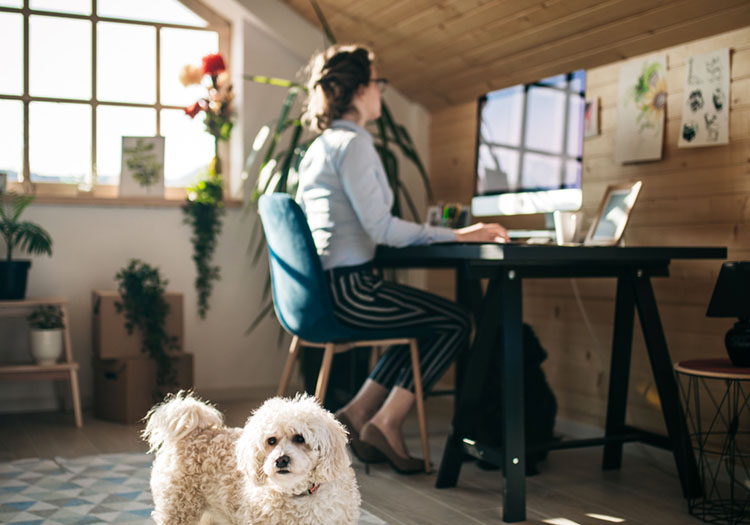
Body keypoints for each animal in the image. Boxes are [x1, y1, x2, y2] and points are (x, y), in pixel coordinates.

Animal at [145, 390, 364, 520]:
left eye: (300, 438)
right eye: (271, 441)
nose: (281, 460)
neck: (298, 496)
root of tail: (194, 432)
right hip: (178, 508)